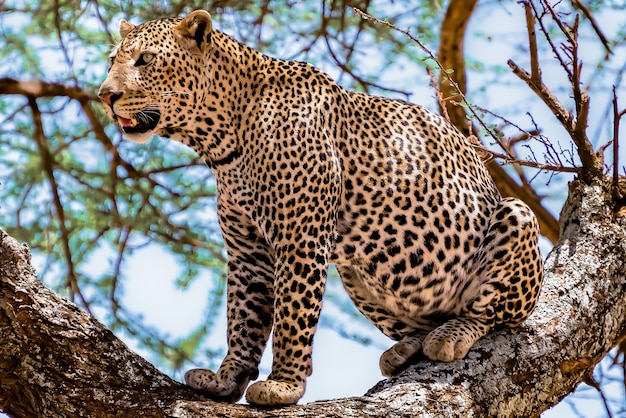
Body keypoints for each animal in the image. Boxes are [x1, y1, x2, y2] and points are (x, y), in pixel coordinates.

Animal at [97, 9, 540, 406]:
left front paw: (283, 386)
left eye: (145, 59)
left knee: (494, 313)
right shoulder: (248, 252)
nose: (105, 95)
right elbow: (242, 318)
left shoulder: (300, 239)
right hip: (357, 274)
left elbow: (292, 315)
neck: (220, 140)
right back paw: (406, 348)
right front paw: (227, 379)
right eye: (113, 60)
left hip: (515, 216)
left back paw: (452, 335)